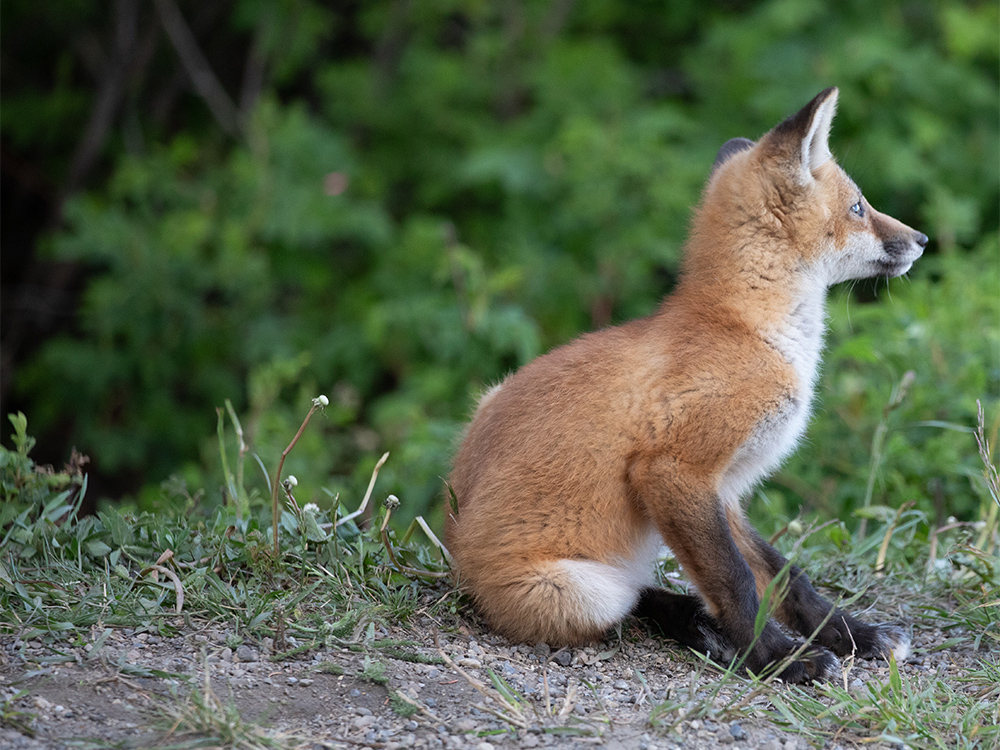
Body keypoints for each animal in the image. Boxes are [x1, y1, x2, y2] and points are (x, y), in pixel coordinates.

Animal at [444, 88, 927, 683]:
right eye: (859, 207)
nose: (922, 239)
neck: (751, 332)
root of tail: (453, 548)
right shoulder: (674, 471)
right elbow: (737, 584)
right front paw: (776, 658)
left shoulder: (726, 487)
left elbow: (786, 576)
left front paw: (850, 633)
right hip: (580, 590)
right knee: (633, 600)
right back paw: (706, 632)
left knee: (645, 590)